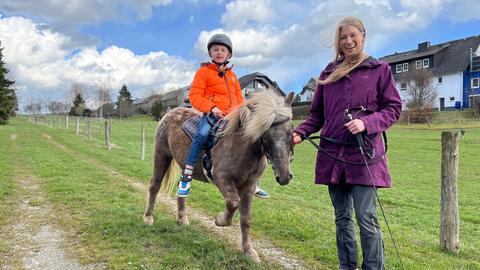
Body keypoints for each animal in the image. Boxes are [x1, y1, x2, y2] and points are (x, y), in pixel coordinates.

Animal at [142, 90, 294, 262]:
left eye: (291, 132)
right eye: (265, 134)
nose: (284, 176)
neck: (240, 146)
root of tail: (170, 113)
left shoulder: (248, 187)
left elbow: (246, 219)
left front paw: (248, 251)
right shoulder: (223, 179)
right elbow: (233, 203)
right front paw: (220, 220)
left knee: (181, 190)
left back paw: (182, 218)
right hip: (161, 156)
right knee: (154, 186)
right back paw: (148, 218)